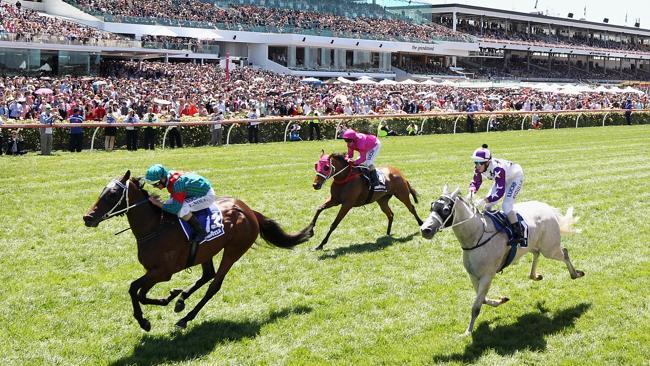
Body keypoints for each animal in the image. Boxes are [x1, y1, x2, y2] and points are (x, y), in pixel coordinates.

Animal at [83, 170, 312, 330]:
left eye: (113, 194)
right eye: (102, 191)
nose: (87, 217)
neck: (154, 228)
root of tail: (248, 210)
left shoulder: (162, 272)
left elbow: (135, 290)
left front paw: (145, 321)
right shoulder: (154, 272)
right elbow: (139, 292)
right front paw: (170, 298)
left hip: (234, 250)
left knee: (214, 285)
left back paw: (185, 318)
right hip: (205, 251)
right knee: (207, 275)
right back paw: (181, 301)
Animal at [418, 186, 584, 334]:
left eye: (446, 209)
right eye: (432, 206)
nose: (425, 230)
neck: (476, 235)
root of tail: (548, 208)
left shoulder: (487, 275)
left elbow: (476, 306)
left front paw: (468, 331)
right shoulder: (473, 275)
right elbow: (483, 299)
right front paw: (500, 300)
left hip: (550, 248)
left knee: (564, 253)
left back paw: (575, 274)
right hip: (534, 245)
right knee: (536, 254)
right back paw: (535, 275)